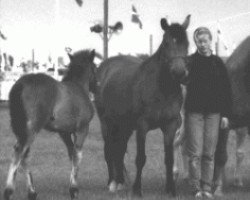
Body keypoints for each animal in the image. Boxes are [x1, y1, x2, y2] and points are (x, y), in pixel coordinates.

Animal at [3, 48, 96, 200]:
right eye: (95, 67)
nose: (96, 85)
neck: (79, 88)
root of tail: (20, 84)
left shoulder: (64, 132)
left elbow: (71, 153)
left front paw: (72, 187)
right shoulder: (82, 129)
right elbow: (77, 155)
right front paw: (74, 190)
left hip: (21, 129)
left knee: (24, 154)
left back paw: (32, 192)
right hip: (31, 129)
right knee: (19, 151)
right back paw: (9, 191)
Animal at [94, 15, 190, 197]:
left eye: (187, 43)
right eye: (166, 43)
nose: (179, 72)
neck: (161, 88)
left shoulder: (170, 125)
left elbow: (169, 158)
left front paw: (170, 189)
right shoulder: (142, 125)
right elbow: (140, 158)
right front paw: (137, 189)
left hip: (125, 126)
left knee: (120, 150)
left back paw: (120, 182)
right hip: (106, 123)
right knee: (109, 149)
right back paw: (112, 183)